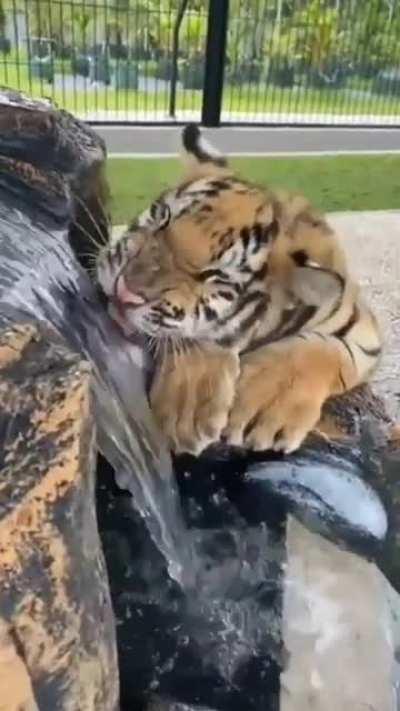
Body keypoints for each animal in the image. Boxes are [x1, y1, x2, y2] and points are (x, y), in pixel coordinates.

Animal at [97, 124, 382, 456]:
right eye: (161, 217)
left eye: (213, 276)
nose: (124, 291)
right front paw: (187, 411)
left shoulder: (364, 330)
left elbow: (325, 351)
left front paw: (262, 407)